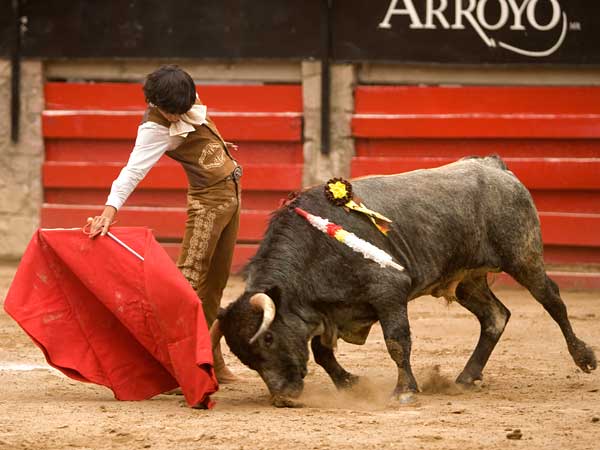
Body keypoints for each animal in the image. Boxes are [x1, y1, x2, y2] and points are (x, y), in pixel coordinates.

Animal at [210, 156, 596, 406]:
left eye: (268, 338)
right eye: (245, 357)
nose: (283, 398)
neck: (316, 245)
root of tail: (493, 166)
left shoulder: (389, 293)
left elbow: (397, 342)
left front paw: (404, 391)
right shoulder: (325, 311)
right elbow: (321, 351)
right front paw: (350, 383)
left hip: (524, 257)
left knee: (553, 300)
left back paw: (584, 357)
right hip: (467, 281)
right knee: (495, 317)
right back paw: (466, 377)